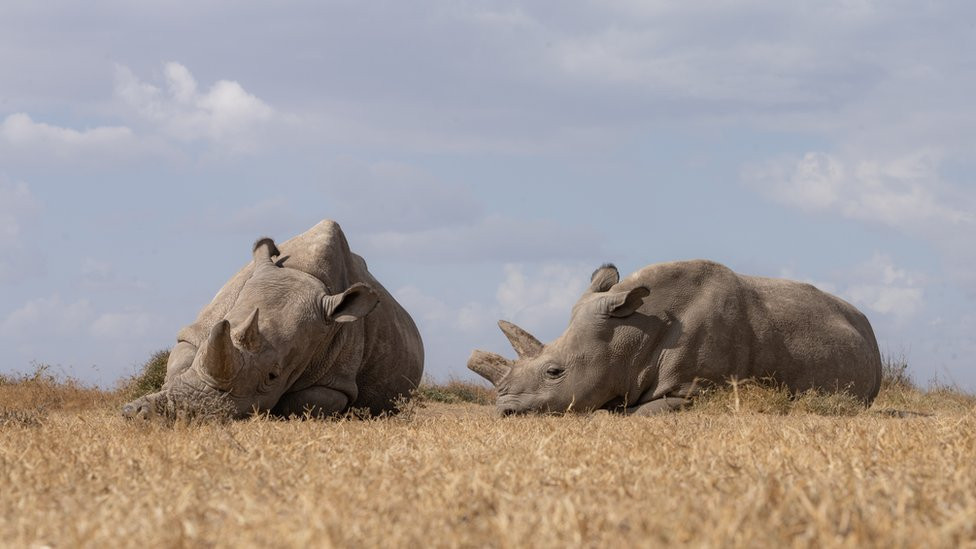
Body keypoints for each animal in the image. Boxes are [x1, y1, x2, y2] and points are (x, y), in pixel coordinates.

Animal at [123, 220, 424, 418]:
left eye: (272, 376)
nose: (184, 413)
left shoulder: (337, 380)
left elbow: (303, 401)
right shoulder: (198, 332)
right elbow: (180, 363)